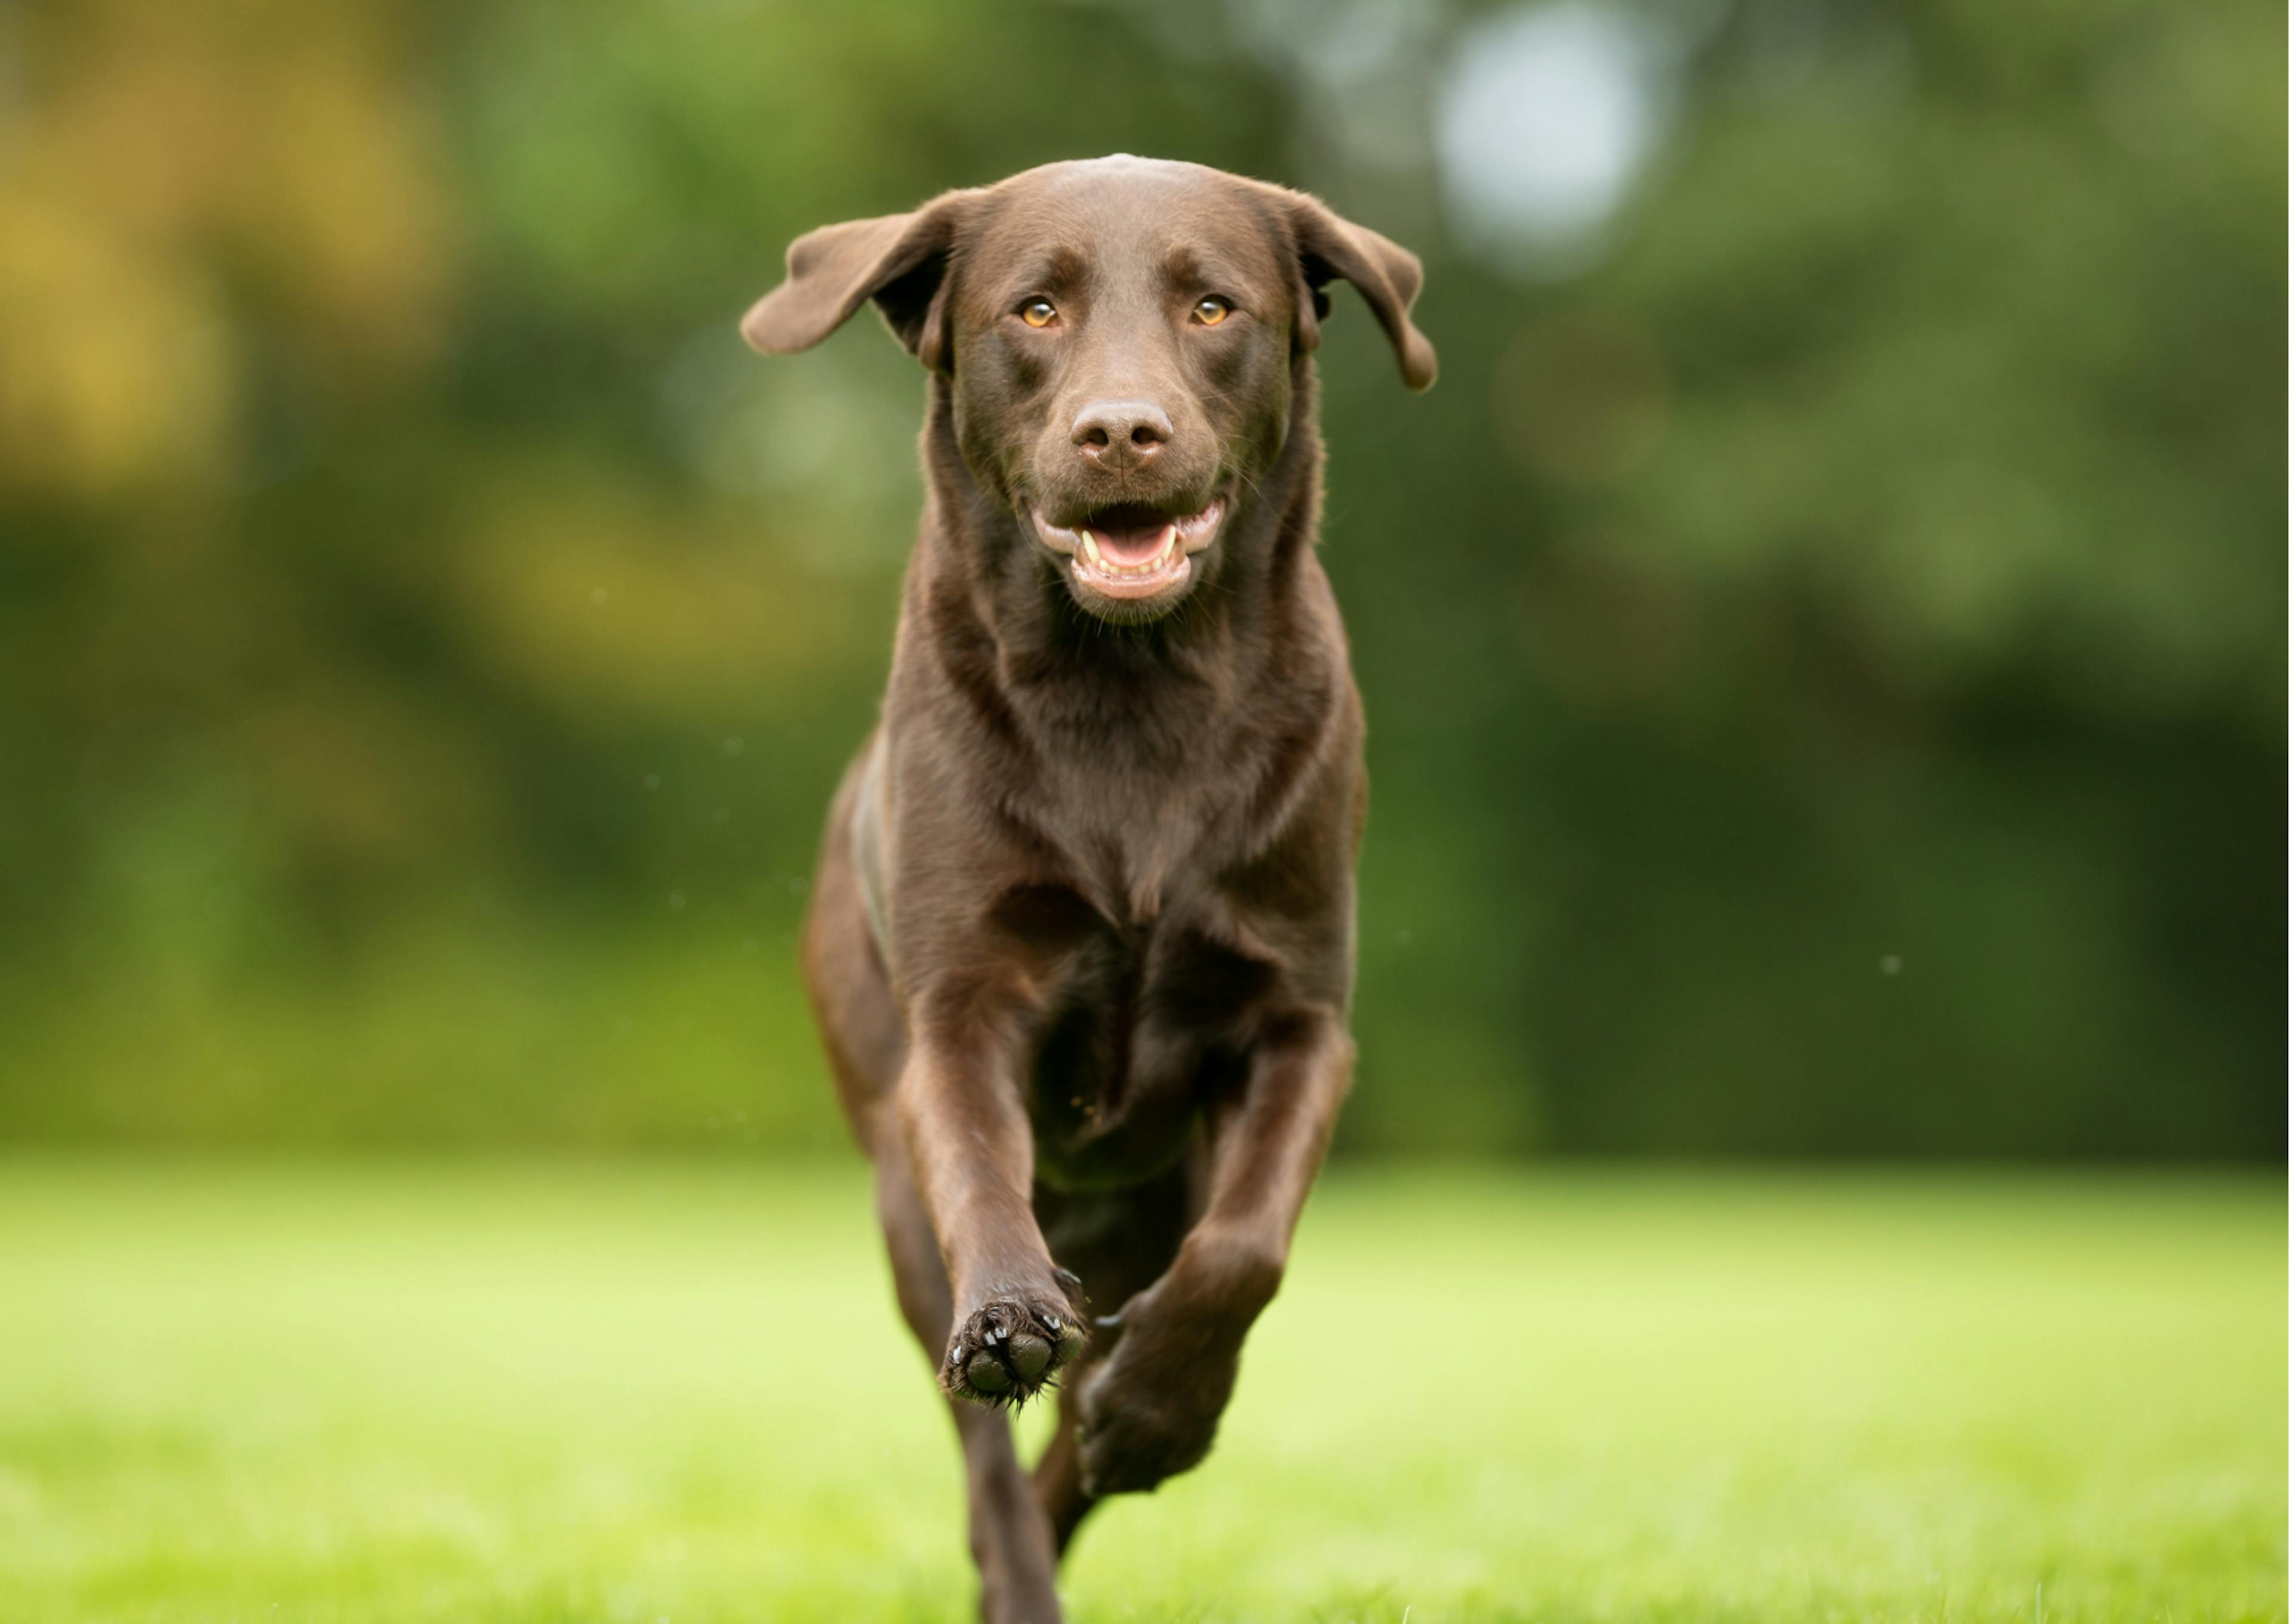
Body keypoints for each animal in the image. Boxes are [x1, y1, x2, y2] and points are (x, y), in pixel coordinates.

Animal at [746, 156, 1429, 1622]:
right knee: (988, 1458)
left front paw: (1158, 1409)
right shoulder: (959, 1012)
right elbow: (981, 1184)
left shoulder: (1297, 1020)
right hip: (894, 1196)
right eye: (1037, 308)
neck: (1131, 694)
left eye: (1214, 306)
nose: (1123, 431)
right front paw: (1013, 1316)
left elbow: (1245, 1248)